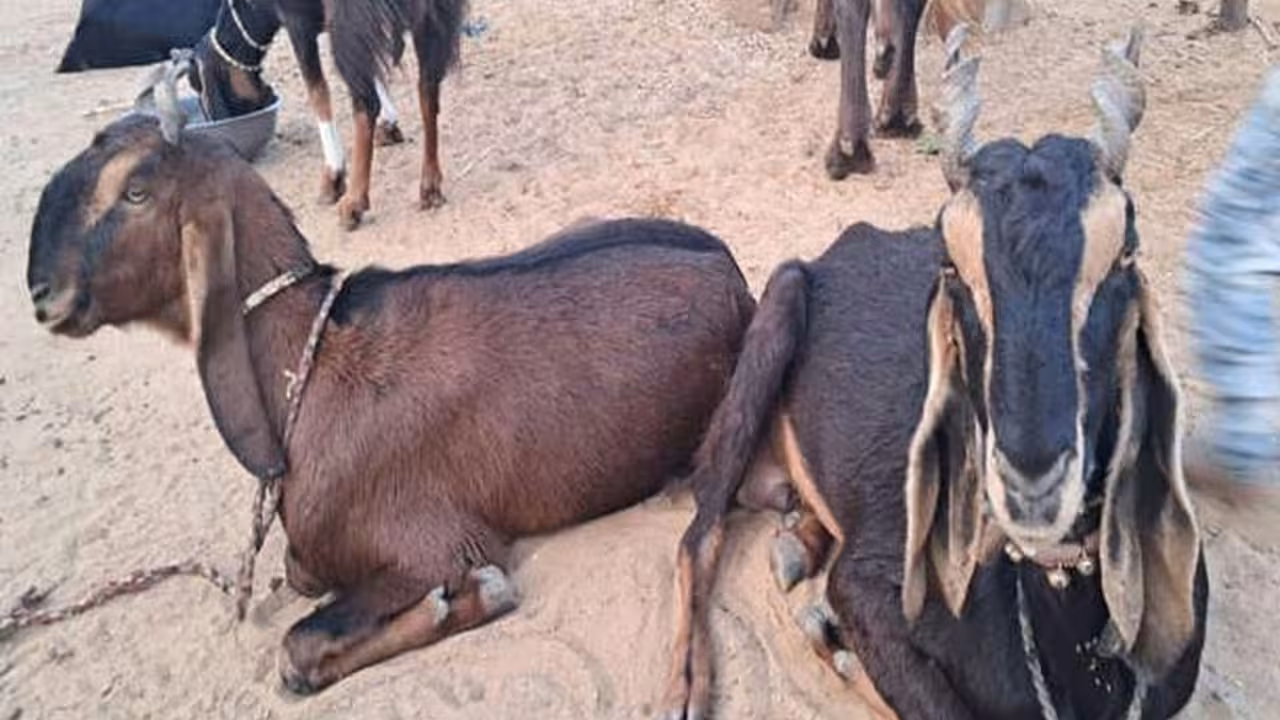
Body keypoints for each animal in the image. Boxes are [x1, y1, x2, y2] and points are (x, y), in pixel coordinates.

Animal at [25, 114, 755, 693]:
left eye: (135, 191)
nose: (41, 294)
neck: (310, 368)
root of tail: (732, 270)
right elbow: (298, 575)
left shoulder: (434, 540)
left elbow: (298, 646)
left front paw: (459, 602)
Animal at [189, 0, 465, 230]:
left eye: (198, 85)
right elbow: (373, 70)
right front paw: (389, 126)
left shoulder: (297, 20)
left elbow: (318, 92)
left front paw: (333, 176)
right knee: (428, 88)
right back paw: (430, 185)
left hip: (347, 16)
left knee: (366, 102)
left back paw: (354, 201)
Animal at [661, 27, 1206, 720]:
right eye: (951, 263)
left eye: (1125, 253)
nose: (1031, 481)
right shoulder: (867, 584)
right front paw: (829, 638)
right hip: (776, 309)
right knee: (699, 532)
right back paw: (688, 682)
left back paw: (798, 542)